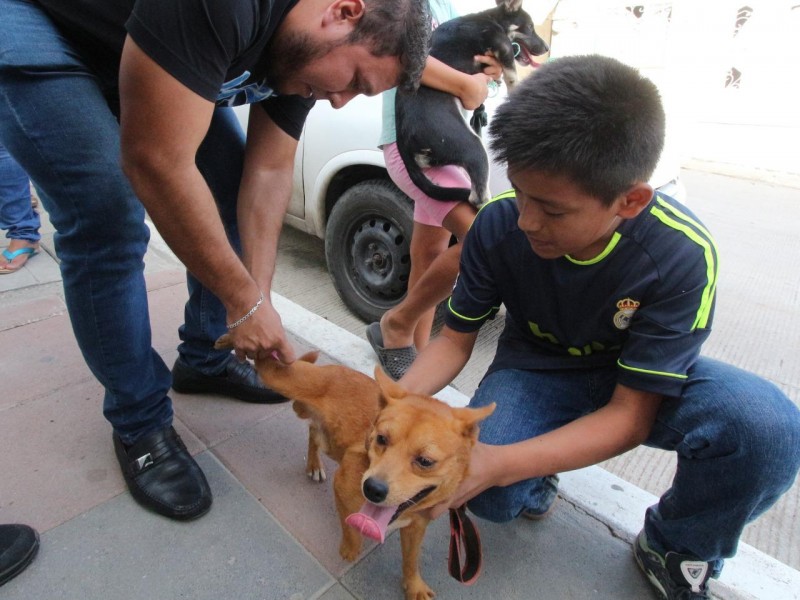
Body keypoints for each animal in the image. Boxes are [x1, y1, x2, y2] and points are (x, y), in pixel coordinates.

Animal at [396, 0, 552, 206]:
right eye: (530, 27)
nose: (547, 48)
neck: (493, 19)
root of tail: (403, 139)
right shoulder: (501, 44)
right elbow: (512, 74)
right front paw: (515, 89)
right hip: (473, 147)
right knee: (477, 197)